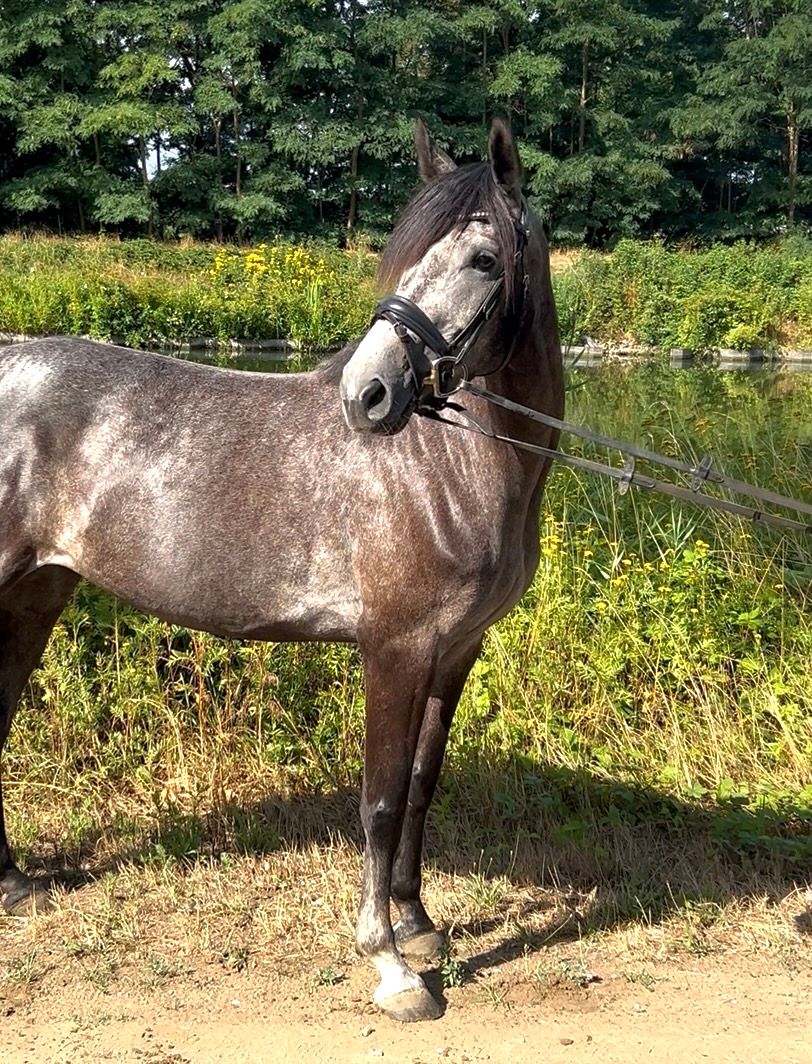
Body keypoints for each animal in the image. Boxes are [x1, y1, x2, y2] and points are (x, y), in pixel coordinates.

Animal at [0, 117, 563, 1022]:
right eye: (406, 255)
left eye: (483, 260)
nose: (367, 393)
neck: (446, 464)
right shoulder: (395, 648)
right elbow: (378, 801)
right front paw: (390, 965)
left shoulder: (455, 651)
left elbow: (422, 783)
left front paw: (418, 923)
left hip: (37, 593)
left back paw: (15, 883)